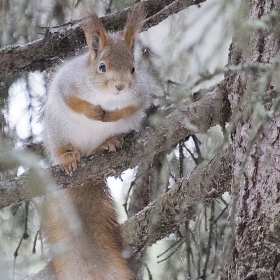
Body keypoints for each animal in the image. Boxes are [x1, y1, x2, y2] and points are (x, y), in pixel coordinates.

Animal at [42, 4, 150, 280]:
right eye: (102, 67)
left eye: (133, 69)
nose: (120, 86)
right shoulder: (69, 83)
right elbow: (73, 101)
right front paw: (93, 112)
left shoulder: (140, 94)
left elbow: (131, 107)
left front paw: (111, 115)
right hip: (57, 131)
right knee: (64, 148)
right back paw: (68, 156)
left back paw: (110, 141)